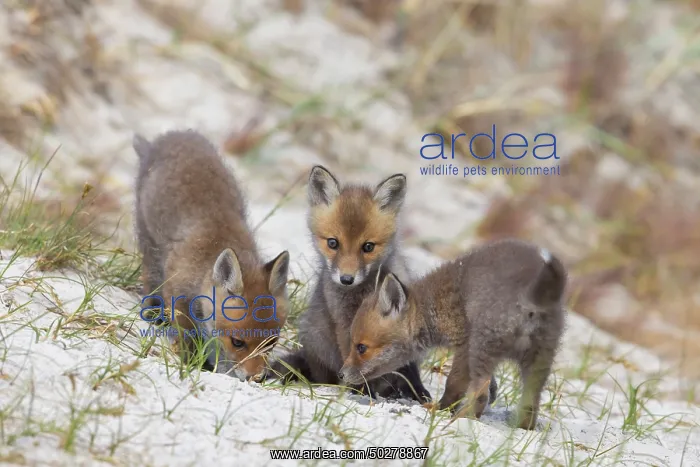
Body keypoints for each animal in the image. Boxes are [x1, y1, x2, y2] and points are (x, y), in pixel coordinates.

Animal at [133, 129, 291, 382]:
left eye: (271, 343)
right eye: (238, 342)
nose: (256, 378)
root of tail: (171, 135)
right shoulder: (178, 293)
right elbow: (187, 336)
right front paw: (191, 362)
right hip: (149, 243)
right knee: (149, 277)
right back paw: (152, 312)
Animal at [268, 165, 437, 402]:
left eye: (368, 247)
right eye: (333, 243)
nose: (346, 279)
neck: (363, 294)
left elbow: (408, 366)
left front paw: (417, 391)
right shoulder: (344, 323)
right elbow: (354, 359)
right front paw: (362, 391)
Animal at [338, 238, 567, 430]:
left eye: (361, 348)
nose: (341, 374)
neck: (434, 307)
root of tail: (530, 296)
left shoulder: (465, 346)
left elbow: (454, 385)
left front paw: (440, 408)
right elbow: (491, 386)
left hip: (483, 347)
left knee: (480, 394)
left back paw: (461, 419)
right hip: (539, 361)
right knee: (531, 402)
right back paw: (522, 429)